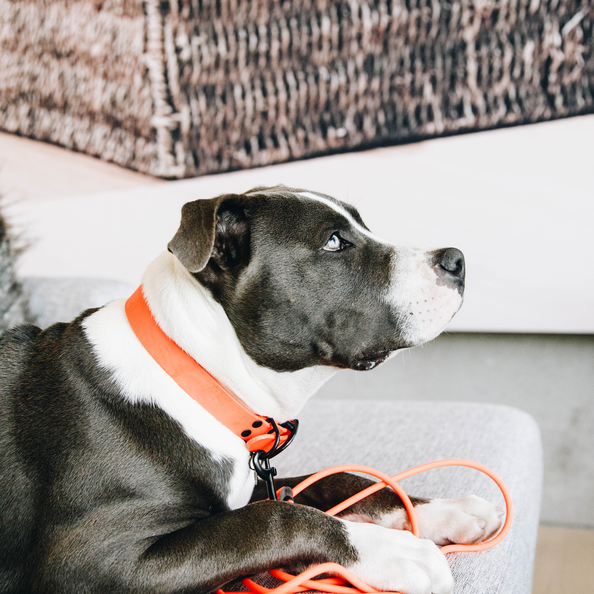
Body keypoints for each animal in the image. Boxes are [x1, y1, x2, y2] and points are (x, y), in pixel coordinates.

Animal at [0, 186, 502, 592]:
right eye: (333, 241)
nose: (457, 260)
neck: (198, 377)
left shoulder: (262, 484)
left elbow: (332, 480)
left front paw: (447, 511)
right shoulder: (90, 560)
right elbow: (273, 520)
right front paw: (395, 552)